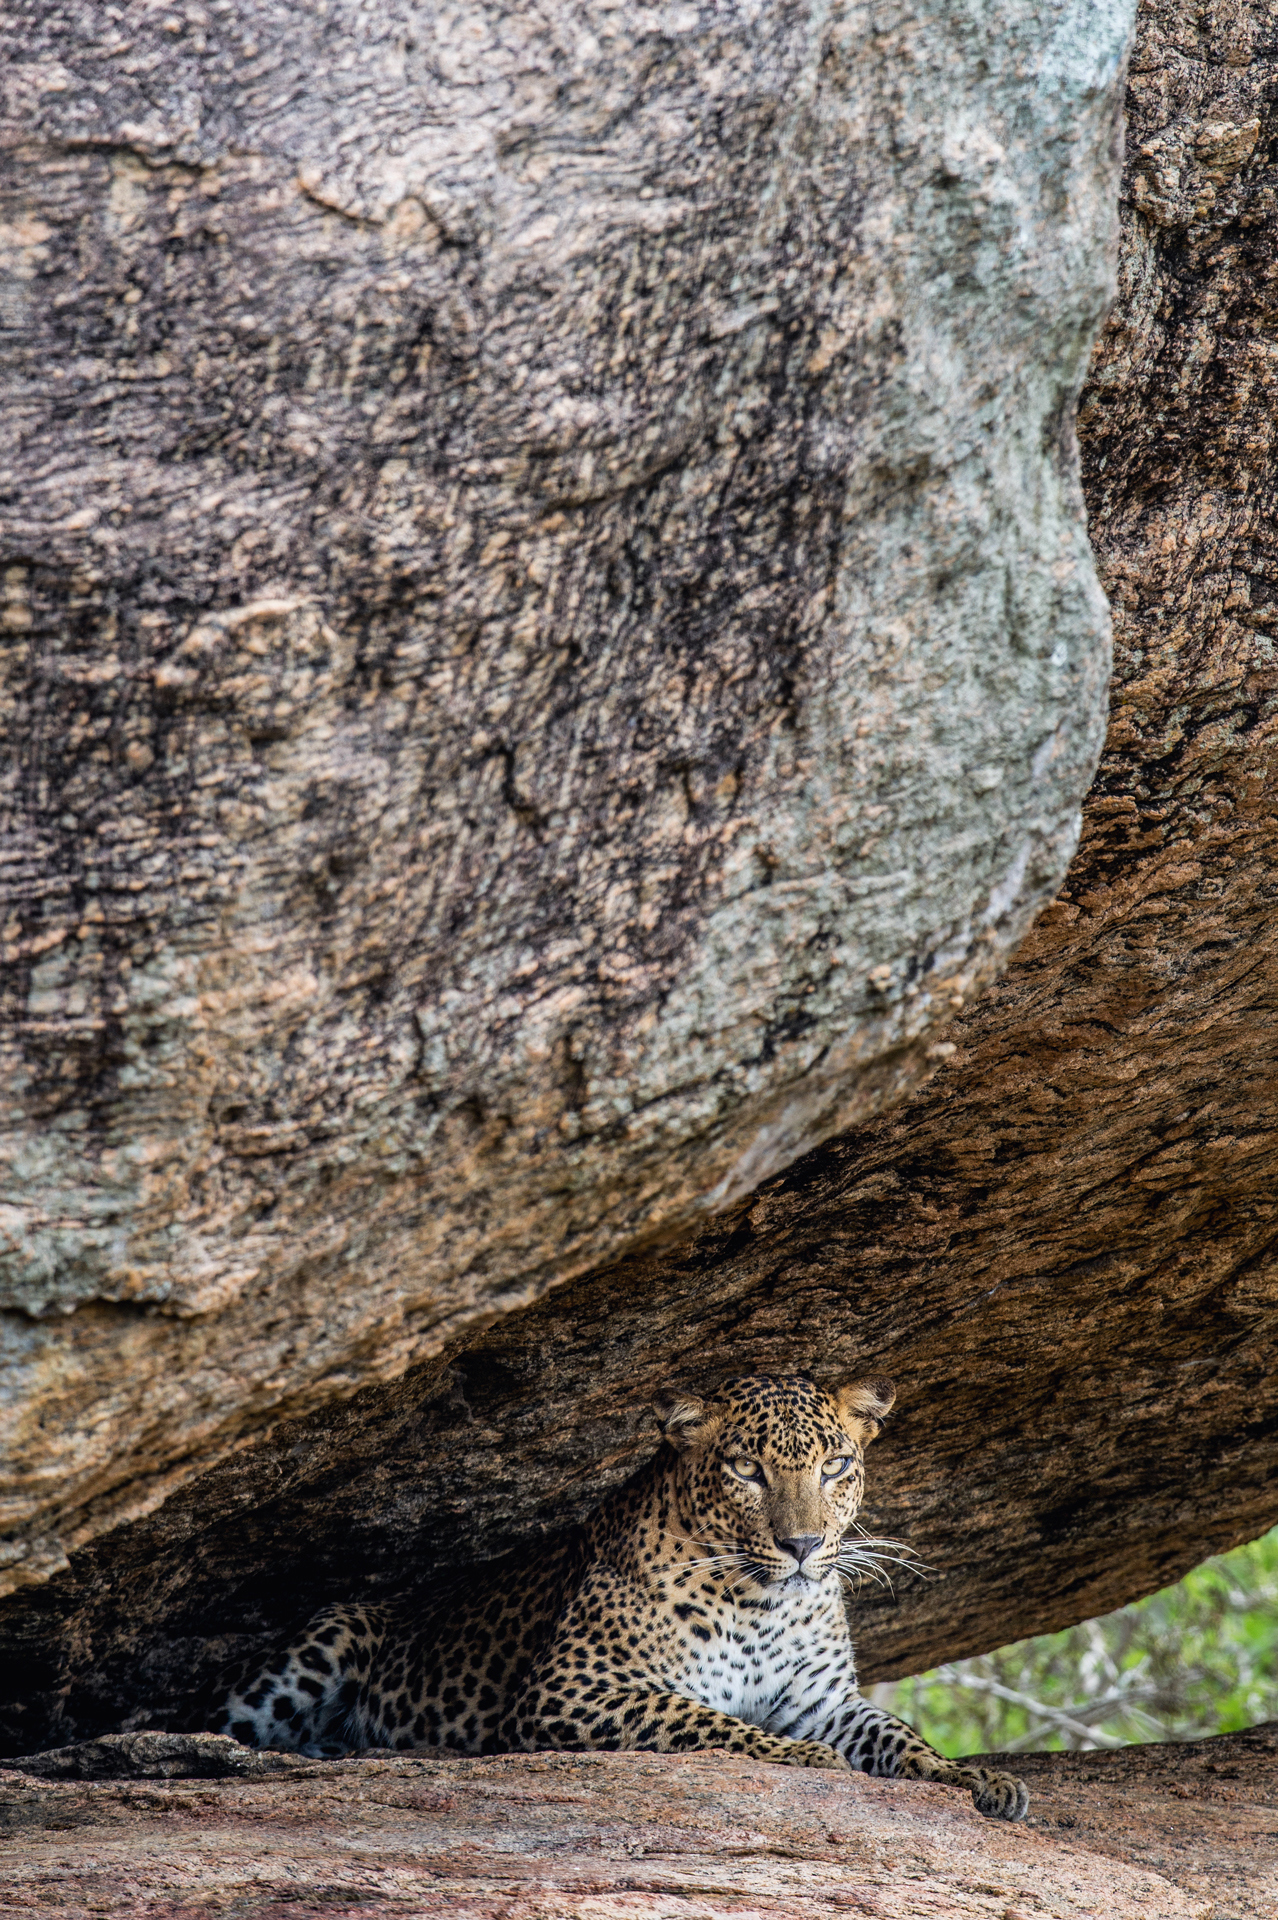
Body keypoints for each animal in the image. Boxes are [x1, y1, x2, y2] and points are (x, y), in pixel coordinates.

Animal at [203, 1372, 1028, 1821]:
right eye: (747, 1470)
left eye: (836, 1467)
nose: (803, 1546)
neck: (765, 1605)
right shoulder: (573, 1689)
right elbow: (707, 1723)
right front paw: (801, 1759)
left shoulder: (823, 1702)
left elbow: (902, 1739)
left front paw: (974, 1778)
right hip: (326, 1639)